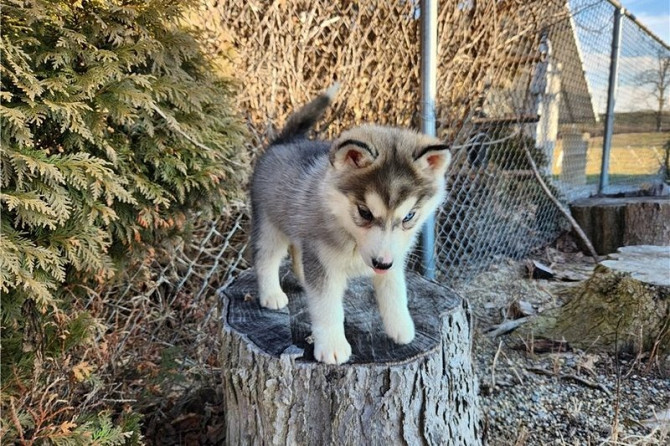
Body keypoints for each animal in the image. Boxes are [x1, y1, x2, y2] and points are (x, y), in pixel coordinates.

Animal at [251, 85, 452, 364]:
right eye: (364, 212)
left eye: (409, 216)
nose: (381, 263)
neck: (349, 234)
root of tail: (284, 141)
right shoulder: (324, 264)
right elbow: (327, 307)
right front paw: (333, 346)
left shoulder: (394, 257)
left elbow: (396, 291)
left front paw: (402, 327)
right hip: (271, 225)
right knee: (266, 258)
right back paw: (271, 294)